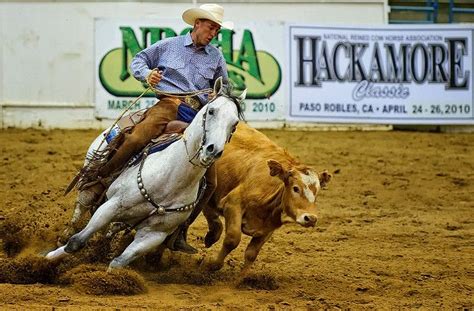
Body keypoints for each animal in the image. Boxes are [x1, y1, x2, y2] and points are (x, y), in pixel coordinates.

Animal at [202, 123, 332, 274]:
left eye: (317, 192)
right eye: (295, 188)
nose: (311, 218)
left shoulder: (269, 227)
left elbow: (251, 254)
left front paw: (239, 278)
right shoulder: (232, 204)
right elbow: (232, 239)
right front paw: (213, 265)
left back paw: (212, 235)